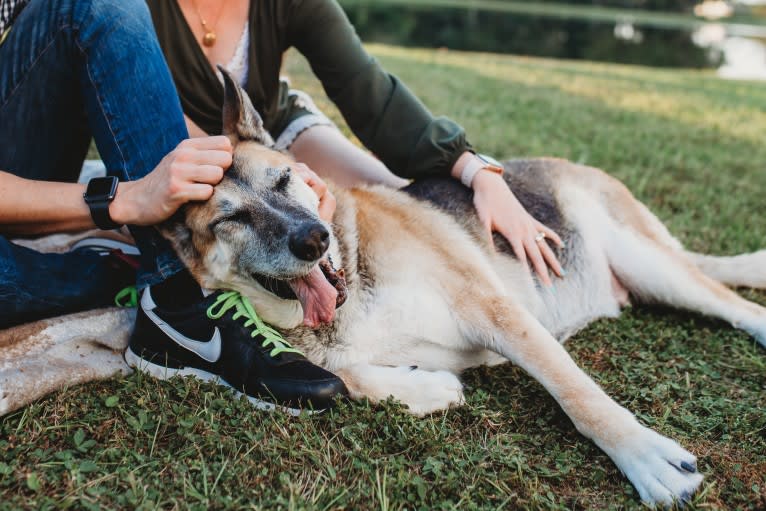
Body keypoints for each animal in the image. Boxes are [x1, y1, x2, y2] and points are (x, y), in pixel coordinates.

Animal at [152, 71, 766, 508]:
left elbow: (580, 397)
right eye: (232, 219)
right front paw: (428, 388)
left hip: (647, 261)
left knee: (731, 303)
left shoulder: (496, 311)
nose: (313, 238)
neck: (353, 273)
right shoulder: (325, 360)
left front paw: (645, 459)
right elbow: (344, 381)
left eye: (283, 180)